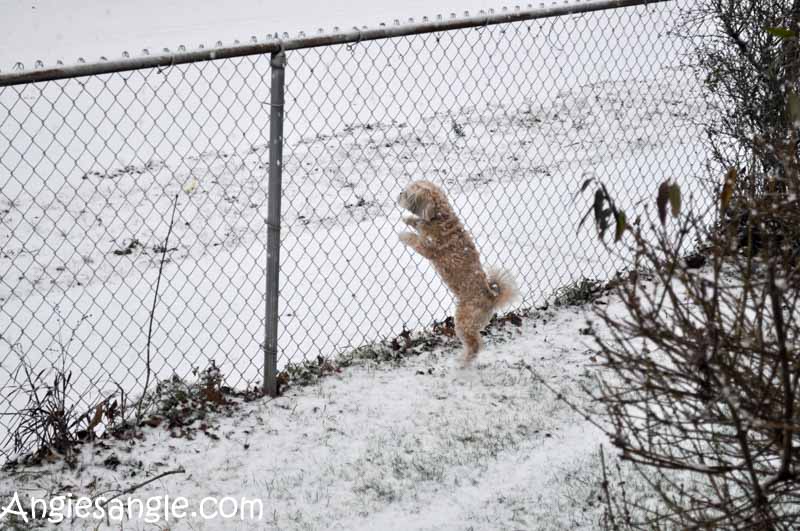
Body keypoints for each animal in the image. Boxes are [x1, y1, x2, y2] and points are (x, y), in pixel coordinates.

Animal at [398, 180, 520, 366]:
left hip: (463, 322)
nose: (399, 194)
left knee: (475, 345)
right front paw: (409, 219)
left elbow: (415, 239)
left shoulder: (429, 250)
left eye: (406, 193)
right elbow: (418, 223)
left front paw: (404, 234)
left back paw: (462, 362)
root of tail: (492, 298)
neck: (441, 217)